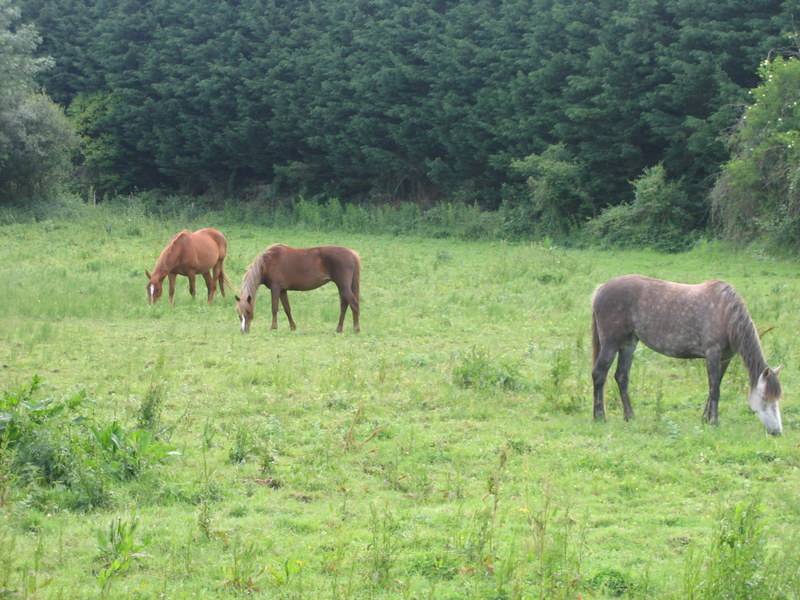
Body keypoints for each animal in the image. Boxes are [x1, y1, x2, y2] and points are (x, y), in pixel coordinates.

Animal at [591, 275, 783, 435]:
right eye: (765, 398)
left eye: (777, 398)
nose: (777, 432)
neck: (725, 314)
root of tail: (601, 289)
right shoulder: (712, 354)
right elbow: (715, 389)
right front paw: (714, 421)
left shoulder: (725, 358)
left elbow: (714, 386)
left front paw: (705, 419)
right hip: (611, 343)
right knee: (599, 374)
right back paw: (599, 417)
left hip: (628, 344)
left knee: (621, 377)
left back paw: (630, 416)